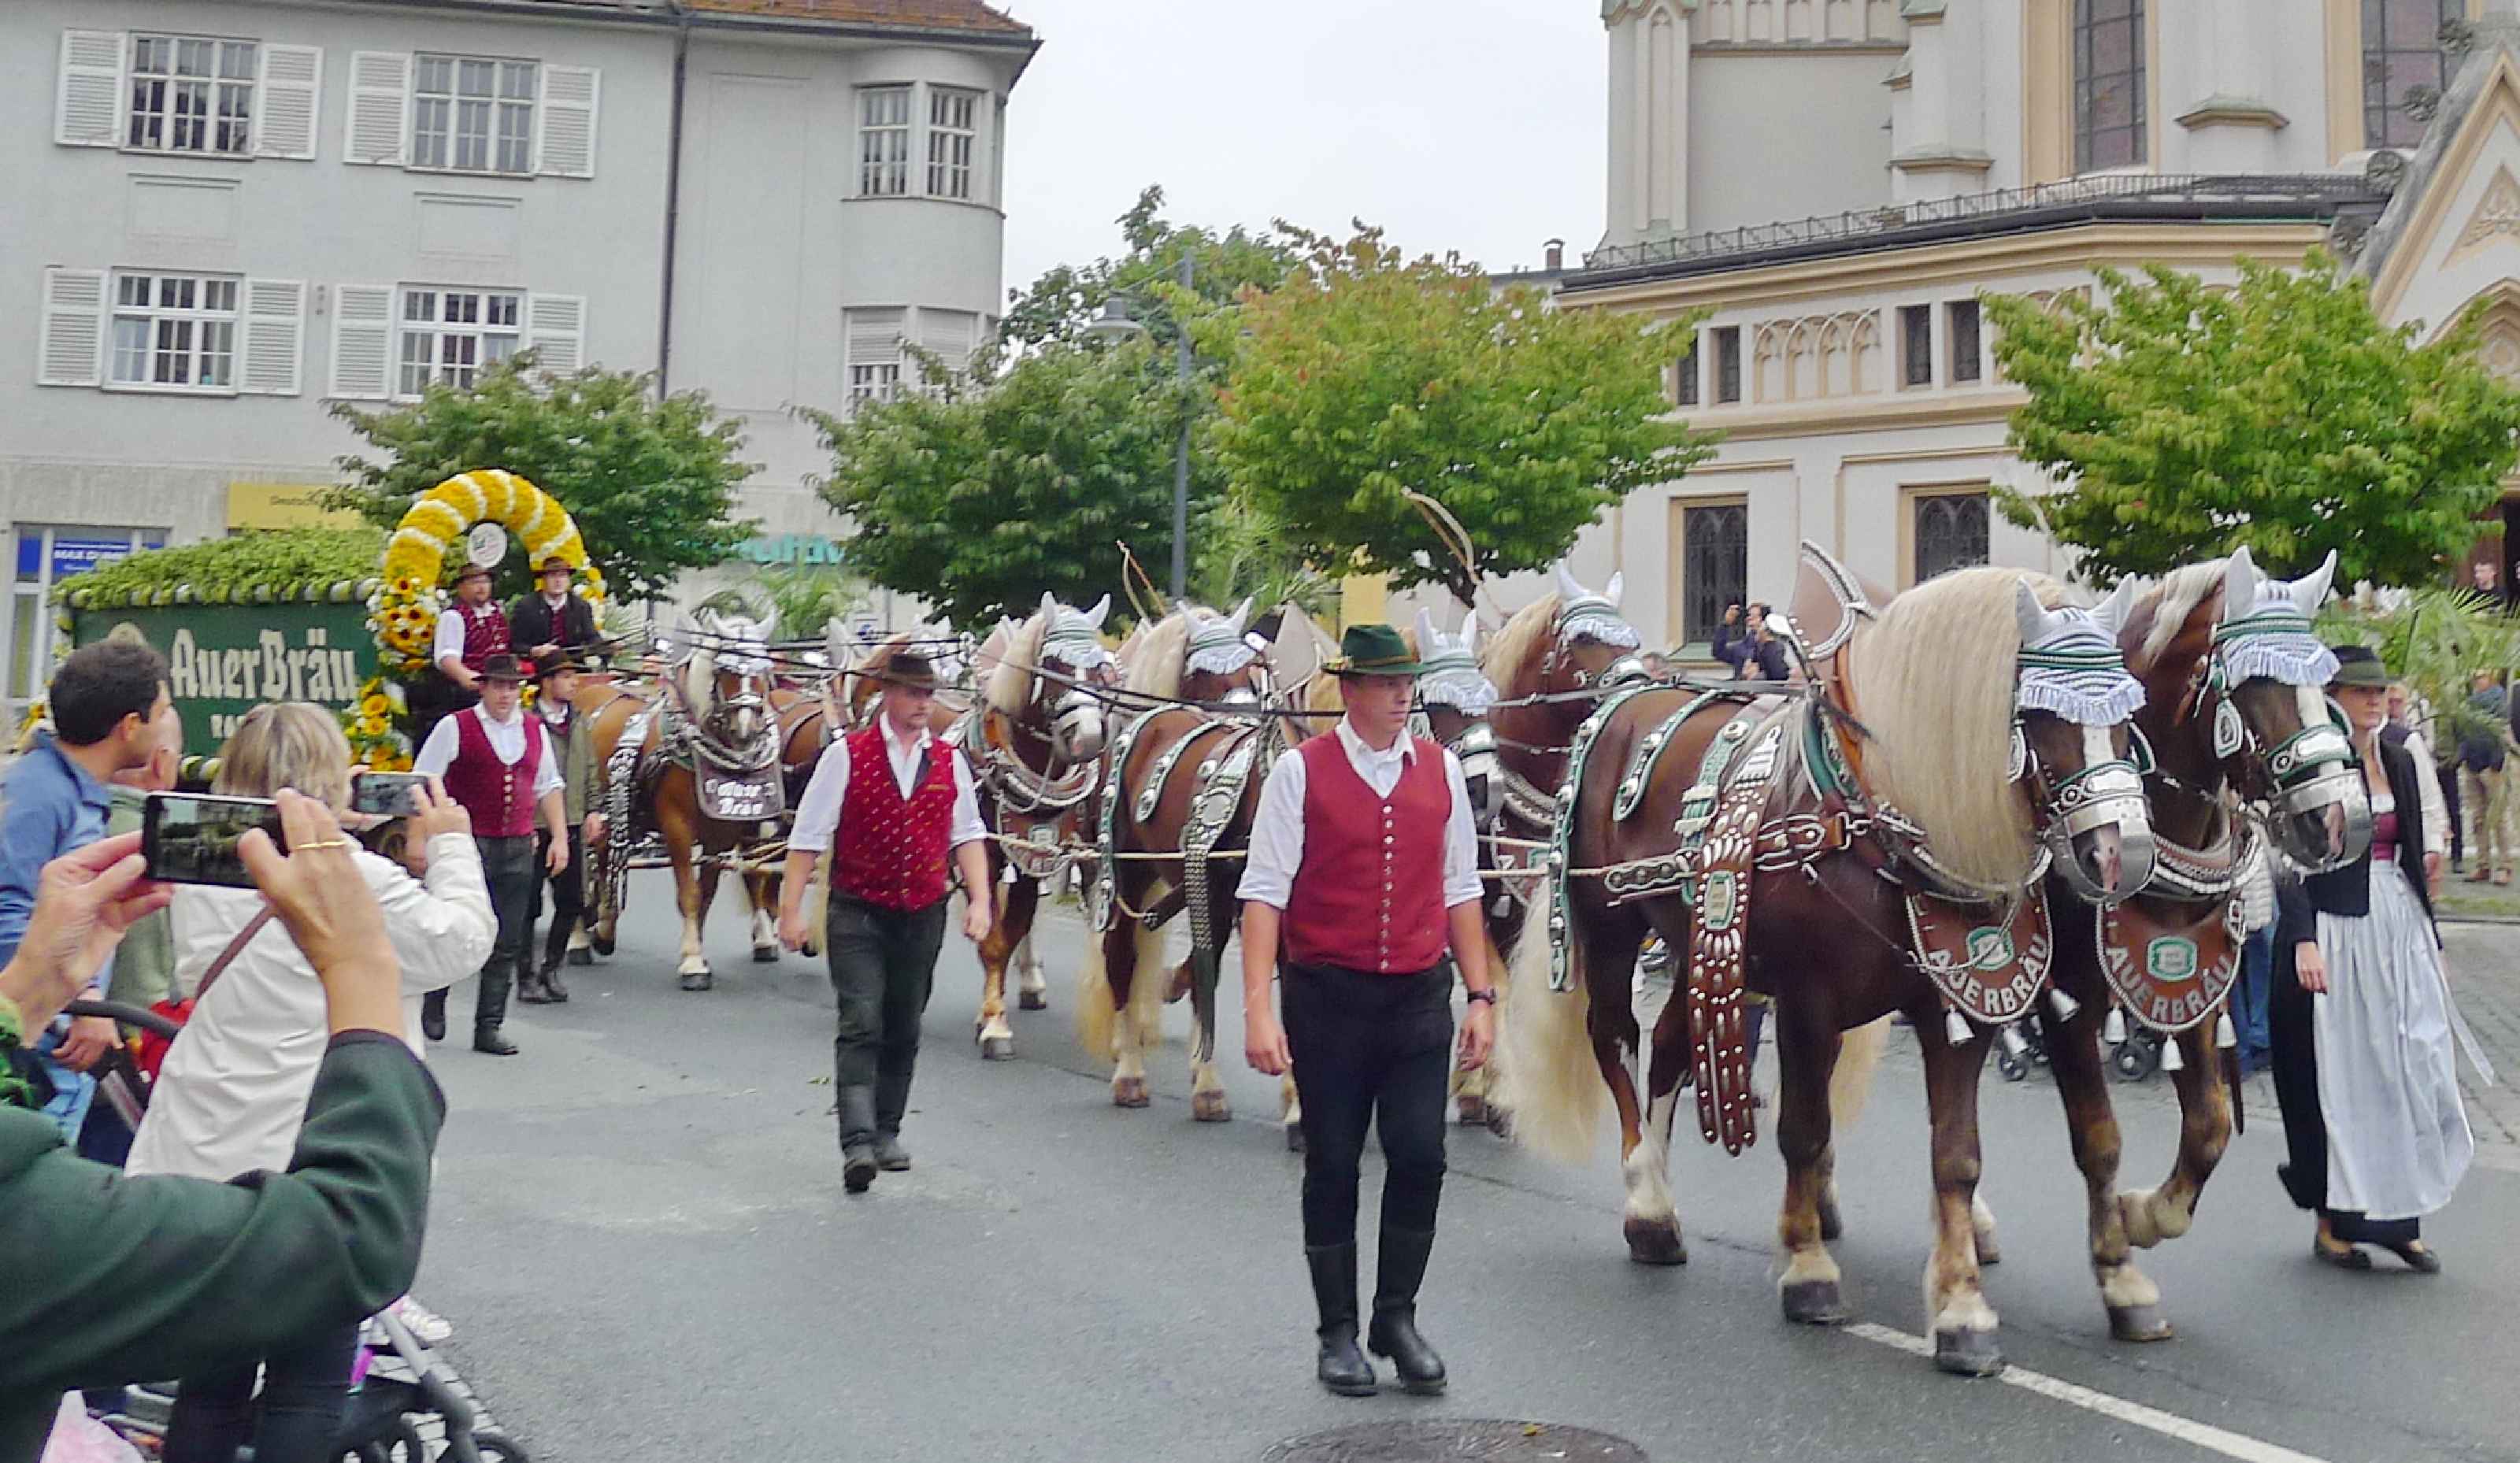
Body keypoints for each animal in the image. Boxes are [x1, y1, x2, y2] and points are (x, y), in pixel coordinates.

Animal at [581, 612, 815, 990]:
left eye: (763, 669)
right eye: (725, 671)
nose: (746, 729)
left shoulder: (722, 833)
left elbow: (705, 895)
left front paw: (696, 951)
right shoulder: (677, 826)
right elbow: (689, 894)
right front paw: (692, 963)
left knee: (604, 862)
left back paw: (603, 929)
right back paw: (581, 937)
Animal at [1076, 598, 1276, 1118]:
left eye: (1252, 667)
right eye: (1202, 672)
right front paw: (1207, 1081)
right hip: (1125, 875)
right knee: (1120, 957)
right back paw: (1128, 1071)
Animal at [1496, 551, 2159, 1377]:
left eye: (2129, 719)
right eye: (2042, 717)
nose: (2122, 856)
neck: (1872, 809)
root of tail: (1624, 699)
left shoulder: (1959, 1004)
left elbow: (1957, 1156)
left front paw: (1962, 1311)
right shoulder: (1808, 1002)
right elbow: (1803, 1133)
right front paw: (1810, 1272)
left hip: (1696, 942)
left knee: (1672, 1052)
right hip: (1616, 930)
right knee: (1617, 1040)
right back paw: (1648, 1203)